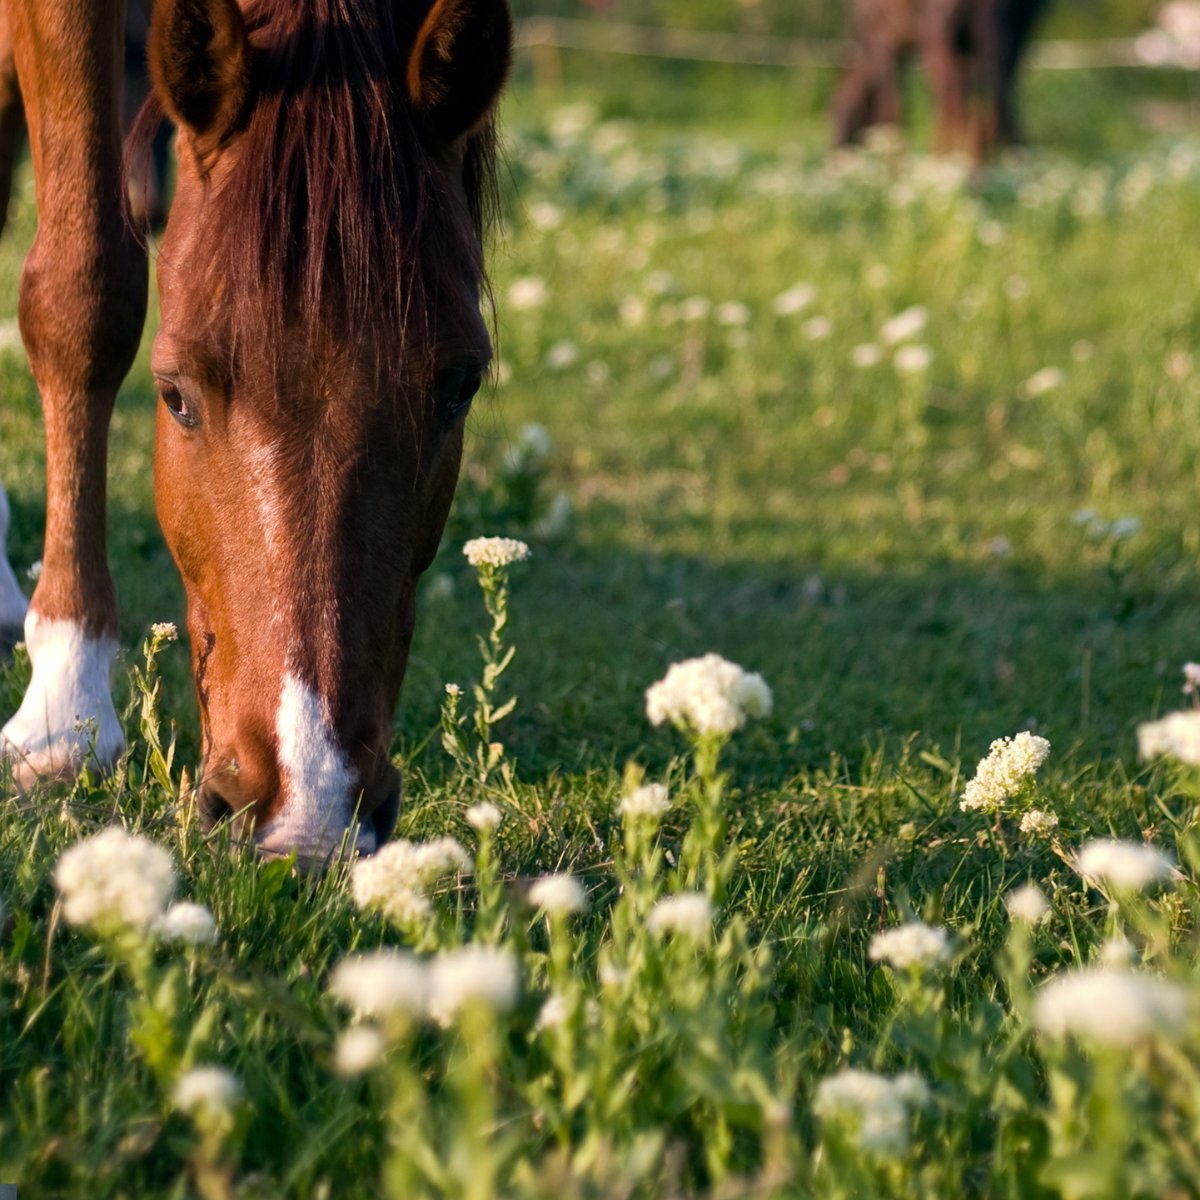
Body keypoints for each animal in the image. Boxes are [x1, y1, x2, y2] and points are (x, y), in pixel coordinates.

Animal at [833, 0, 1048, 159]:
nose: (838, 159)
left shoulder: (883, 43)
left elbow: (890, 112)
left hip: (940, 38)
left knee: (955, 108)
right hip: (1001, 37)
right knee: (998, 107)